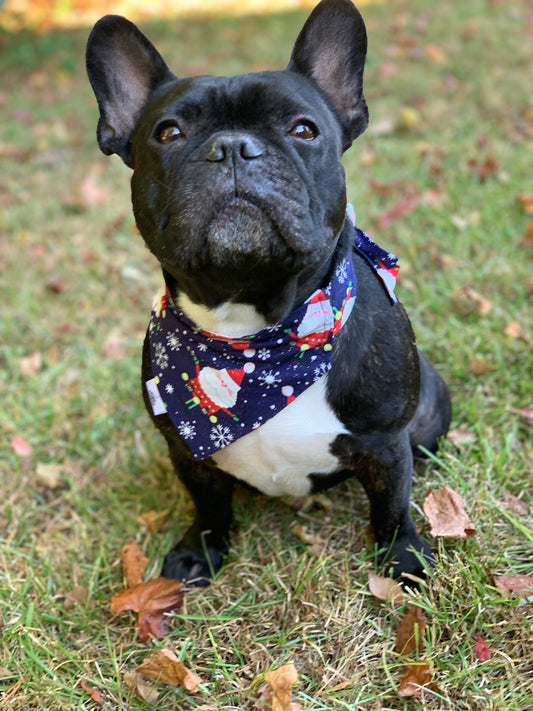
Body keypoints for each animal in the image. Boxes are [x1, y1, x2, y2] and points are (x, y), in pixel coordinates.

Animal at [86, 0, 448, 588]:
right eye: (168, 133)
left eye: (303, 129)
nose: (233, 147)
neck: (254, 333)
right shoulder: (186, 454)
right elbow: (209, 506)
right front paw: (201, 549)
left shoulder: (385, 443)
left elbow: (392, 505)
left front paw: (404, 559)